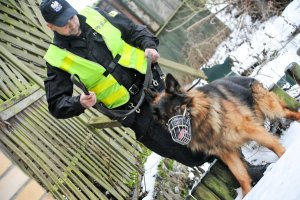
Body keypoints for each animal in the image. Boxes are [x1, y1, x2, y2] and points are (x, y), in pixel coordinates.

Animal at [145, 73, 300, 195]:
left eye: (177, 109)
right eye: (165, 119)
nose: (177, 134)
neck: (202, 120)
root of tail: (244, 76)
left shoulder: (249, 129)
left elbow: (272, 144)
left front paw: (284, 157)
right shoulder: (226, 152)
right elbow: (240, 174)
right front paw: (248, 193)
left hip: (270, 107)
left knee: (289, 112)